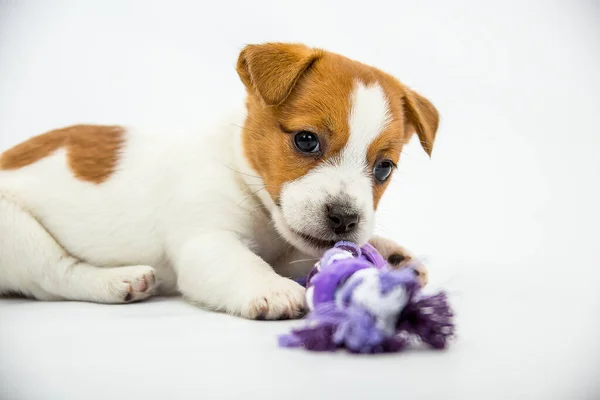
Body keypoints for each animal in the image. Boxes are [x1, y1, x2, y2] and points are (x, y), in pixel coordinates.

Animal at [0, 43, 436, 318]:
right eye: (306, 140)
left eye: (384, 168)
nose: (345, 219)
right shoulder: (206, 242)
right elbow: (243, 262)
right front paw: (272, 289)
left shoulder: (289, 247)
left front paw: (391, 255)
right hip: (18, 232)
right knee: (55, 275)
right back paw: (121, 280)